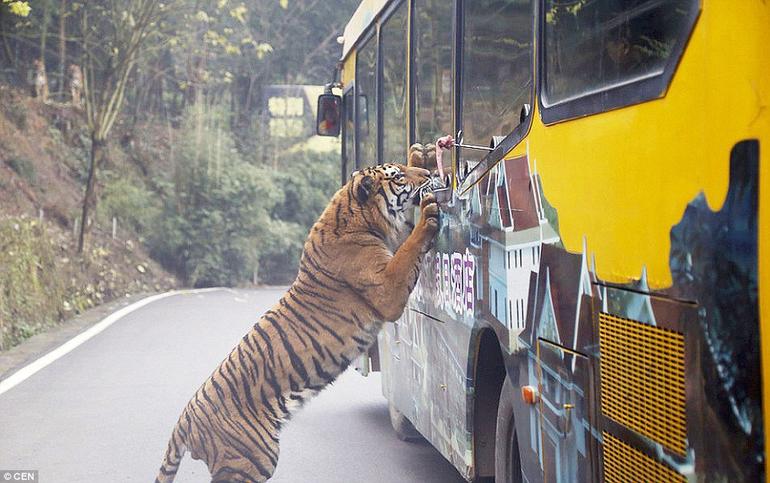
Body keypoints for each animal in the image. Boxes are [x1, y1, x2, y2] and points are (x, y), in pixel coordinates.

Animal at [154, 164, 438, 483]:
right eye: (399, 176)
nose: (428, 173)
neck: (356, 214)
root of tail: (185, 419)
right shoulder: (388, 289)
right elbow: (409, 249)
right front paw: (428, 212)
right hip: (253, 458)